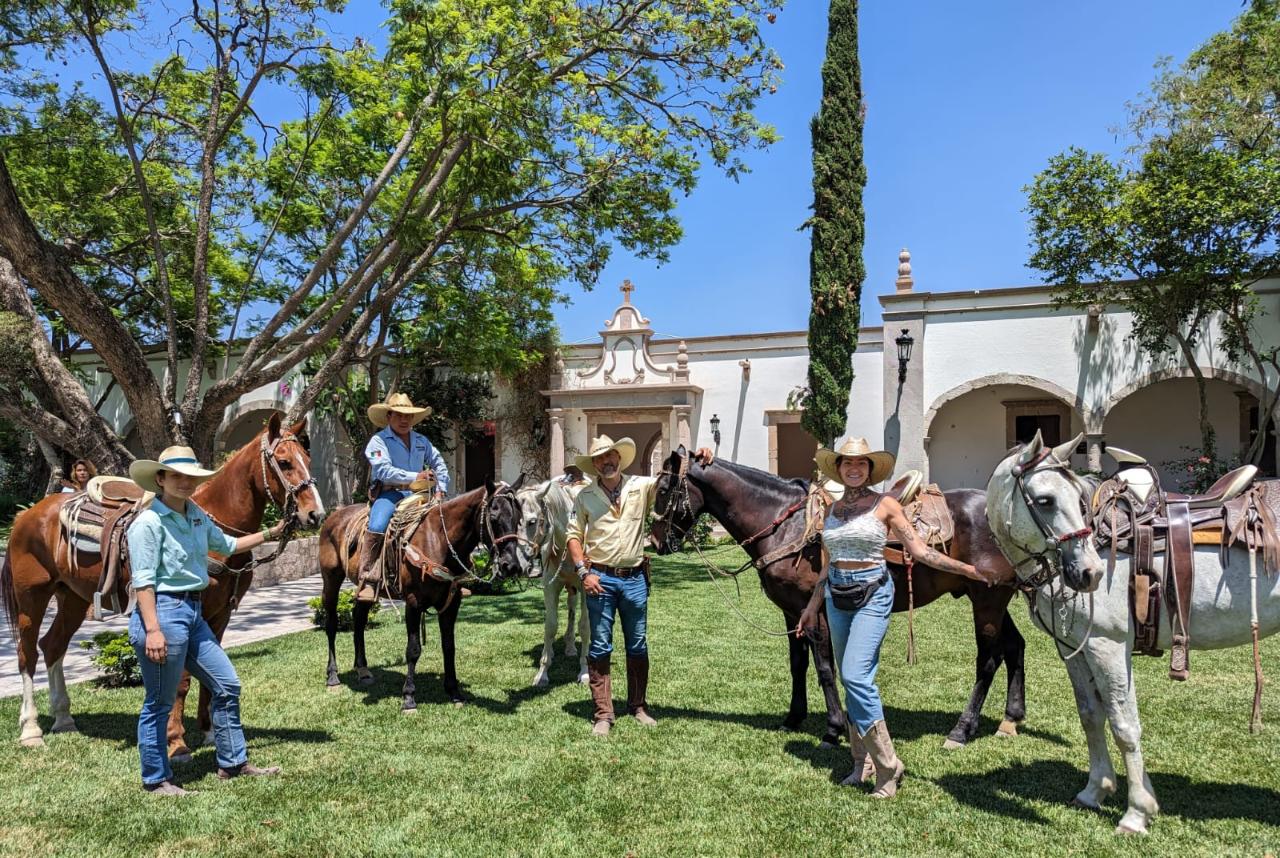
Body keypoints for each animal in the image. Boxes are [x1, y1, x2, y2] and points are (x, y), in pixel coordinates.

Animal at [1, 412, 320, 747]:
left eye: (308, 459)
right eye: (284, 462)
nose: (314, 514)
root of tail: (26, 517)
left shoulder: (220, 614)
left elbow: (210, 676)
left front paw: (209, 732)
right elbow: (182, 680)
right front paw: (175, 738)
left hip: (73, 597)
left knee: (53, 646)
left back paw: (64, 719)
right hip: (32, 598)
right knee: (27, 654)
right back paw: (31, 730)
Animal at [320, 476, 529, 712]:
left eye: (519, 519)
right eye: (493, 516)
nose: (511, 566)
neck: (438, 541)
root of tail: (334, 517)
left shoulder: (451, 604)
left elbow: (449, 646)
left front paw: (454, 692)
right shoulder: (413, 603)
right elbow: (413, 649)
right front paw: (409, 697)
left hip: (366, 589)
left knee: (359, 619)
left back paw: (363, 670)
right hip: (331, 579)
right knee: (331, 624)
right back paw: (332, 677)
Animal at [512, 481, 591, 691]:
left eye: (532, 522)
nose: (516, 565)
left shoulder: (587, 588)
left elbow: (585, 626)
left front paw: (585, 671)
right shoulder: (551, 586)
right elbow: (550, 626)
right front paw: (542, 674)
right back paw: (566, 647)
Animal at [650, 450, 1018, 752]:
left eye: (665, 490)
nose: (655, 541)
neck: (785, 524)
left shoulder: (813, 613)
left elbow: (825, 668)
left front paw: (833, 729)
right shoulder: (792, 612)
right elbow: (797, 664)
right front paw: (793, 717)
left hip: (987, 600)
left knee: (989, 660)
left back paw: (961, 729)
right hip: (991, 598)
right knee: (1016, 647)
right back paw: (1010, 719)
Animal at [983, 432, 1274, 834]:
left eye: (1077, 499)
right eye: (1045, 500)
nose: (1090, 574)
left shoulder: (1108, 645)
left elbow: (1124, 726)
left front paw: (1137, 812)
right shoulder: (1074, 648)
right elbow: (1091, 715)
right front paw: (1096, 791)